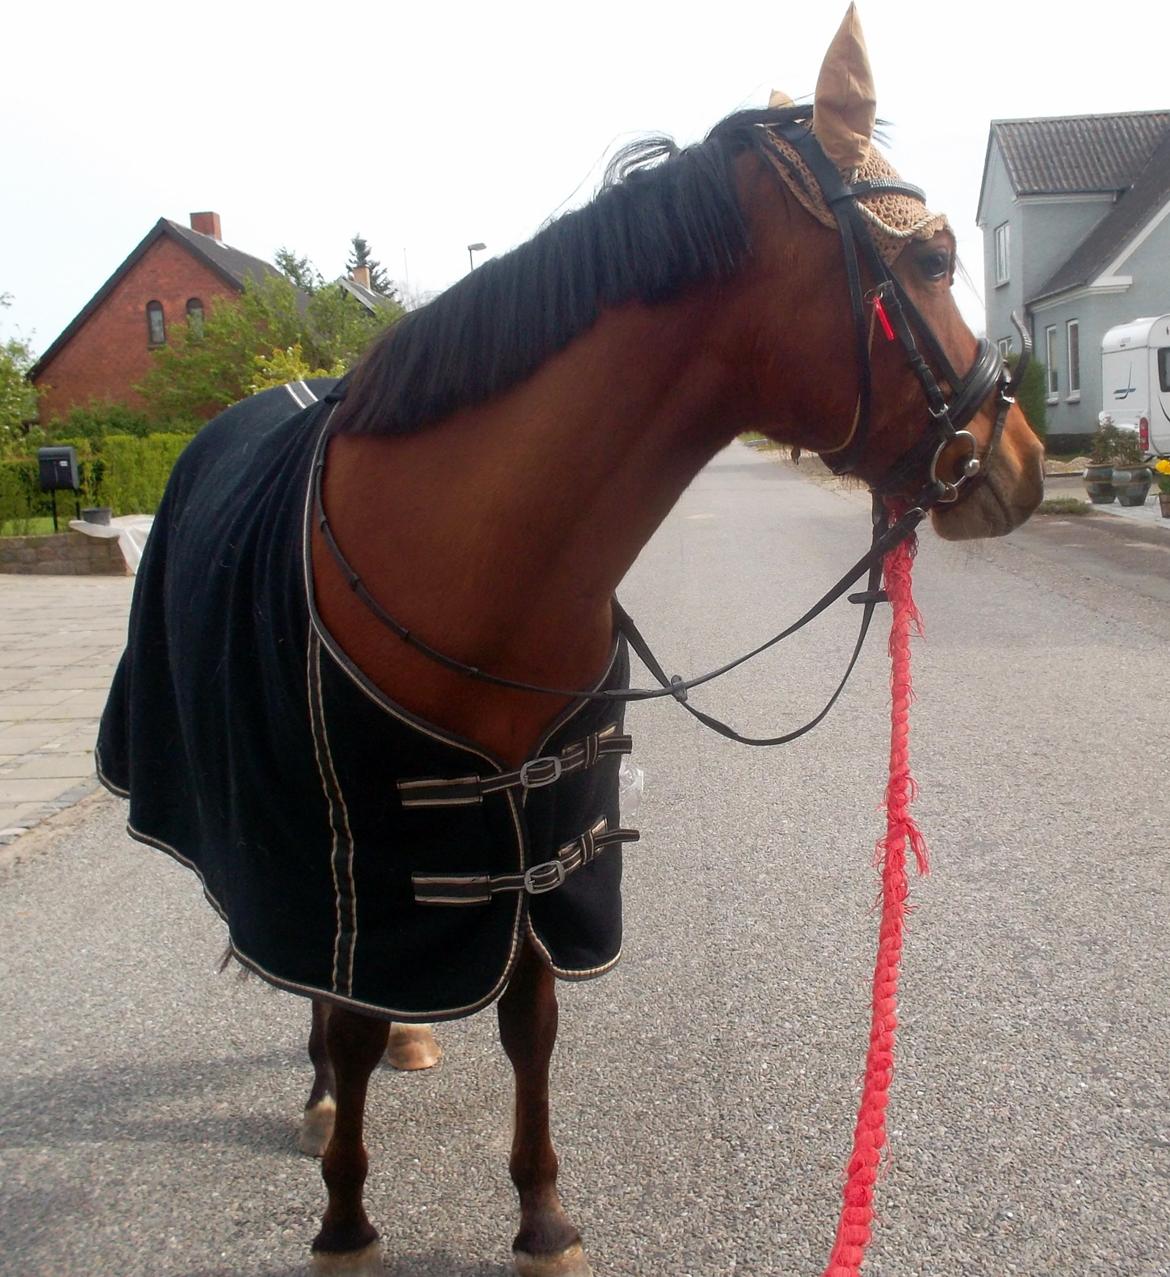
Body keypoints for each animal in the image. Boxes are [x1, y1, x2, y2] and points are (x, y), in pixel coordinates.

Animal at [97, 8, 1045, 1274]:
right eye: (935, 261)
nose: (1021, 464)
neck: (472, 556)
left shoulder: (539, 827)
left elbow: (530, 1012)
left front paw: (542, 1209)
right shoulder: (342, 832)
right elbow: (345, 1018)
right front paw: (346, 1215)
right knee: (310, 982)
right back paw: (323, 1096)